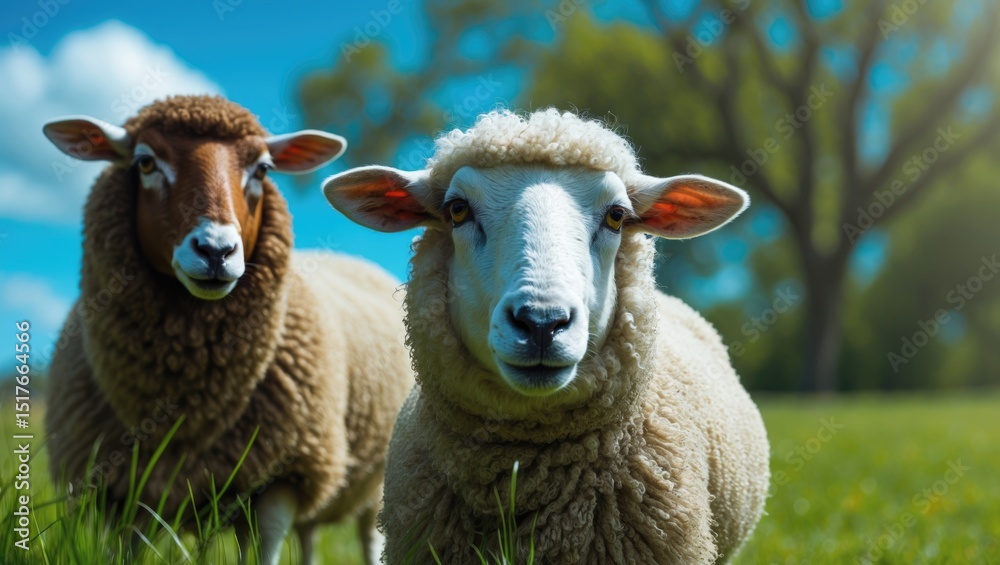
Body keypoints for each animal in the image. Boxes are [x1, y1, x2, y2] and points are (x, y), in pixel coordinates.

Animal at [42, 95, 412, 565]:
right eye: (145, 162)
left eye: (263, 169)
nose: (216, 250)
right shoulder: (124, 486)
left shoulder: (283, 474)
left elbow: (266, 549)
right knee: (310, 534)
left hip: (375, 478)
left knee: (368, 537)